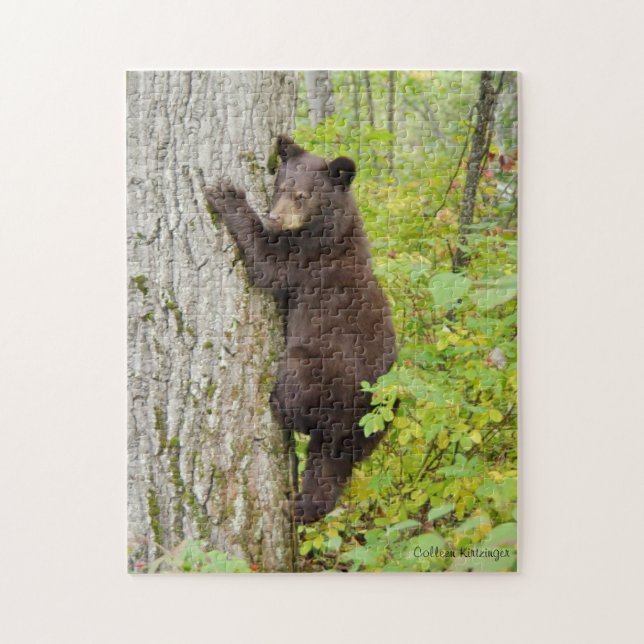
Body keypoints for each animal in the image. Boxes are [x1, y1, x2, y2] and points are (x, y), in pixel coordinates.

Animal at [205, 134, 397, 523]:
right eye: (280, 186)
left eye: (302, 195)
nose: (275, 217)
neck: (326, 228)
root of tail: (353, 421)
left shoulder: (307, 260)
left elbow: (268, 262)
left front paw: (227, 194)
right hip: (373, 429)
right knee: (327, 469)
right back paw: (303, 505)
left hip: (319, 369)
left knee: (301, 397)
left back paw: (278, 405)